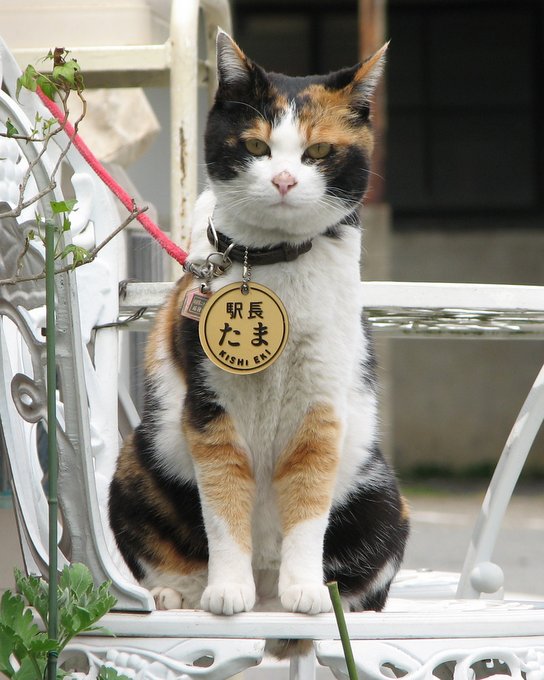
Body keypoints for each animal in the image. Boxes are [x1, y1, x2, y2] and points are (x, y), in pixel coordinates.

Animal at [109, 30, 408, 628]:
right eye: (256, 147)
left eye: (319, 152)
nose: (285, 179)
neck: (272, 263)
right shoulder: (209, 409)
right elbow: (223, 504)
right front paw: (227, 590)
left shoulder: (322, 405)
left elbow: (309, 500)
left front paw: (307, 590)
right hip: (132, 465)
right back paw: (177, 595)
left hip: (386, 499)